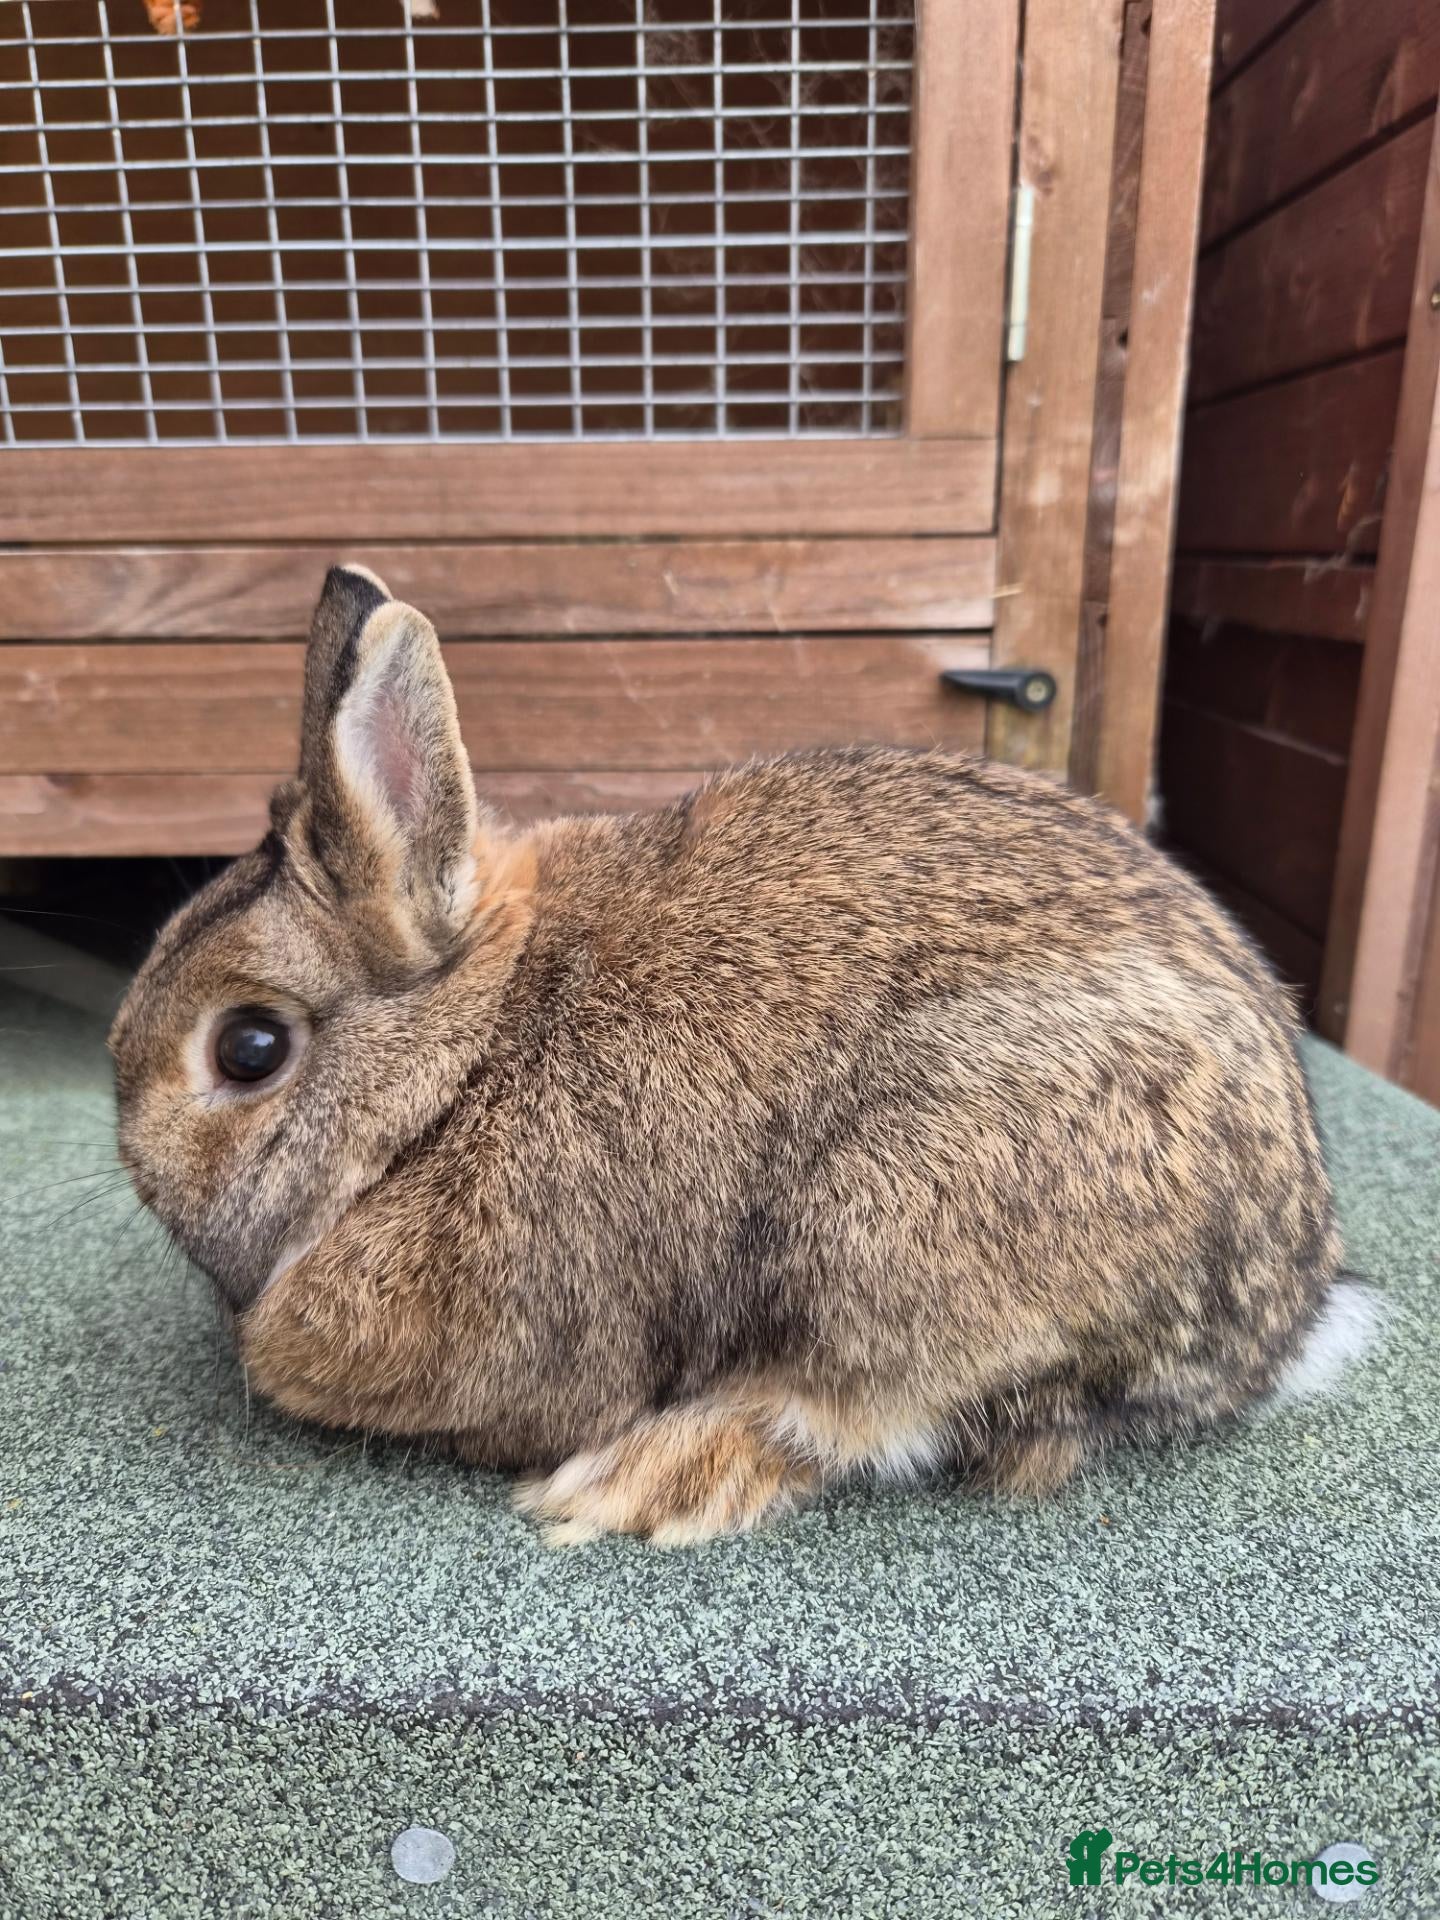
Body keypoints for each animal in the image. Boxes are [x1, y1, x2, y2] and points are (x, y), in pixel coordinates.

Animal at [110, 565, 1363, 1546]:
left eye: (250, 1048)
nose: (134, 1159)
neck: (458, 1072)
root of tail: (1282, 1315)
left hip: (902, 1233)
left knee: (863, 1410)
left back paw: (644, 1481)